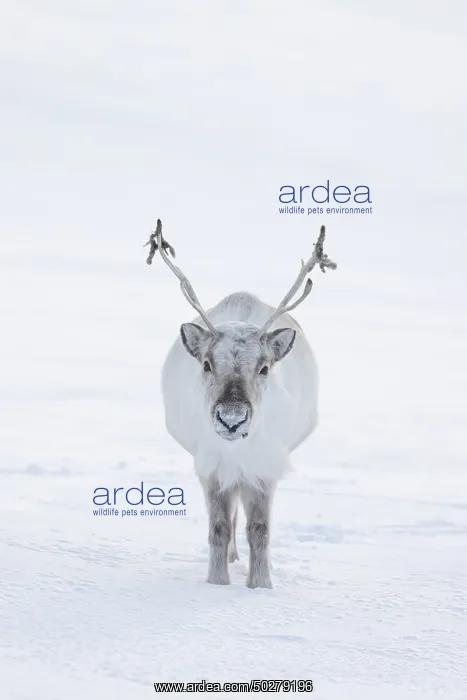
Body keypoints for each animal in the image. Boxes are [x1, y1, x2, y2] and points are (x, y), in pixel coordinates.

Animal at [144, 220, 337, 589]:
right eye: (206, 364)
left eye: (264, 368)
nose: (231, 419)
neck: (237, 449)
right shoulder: (212, 468)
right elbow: (219, 528)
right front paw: (217, 582)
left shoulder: (264, 469)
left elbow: (260, 529)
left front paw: (260, 584)